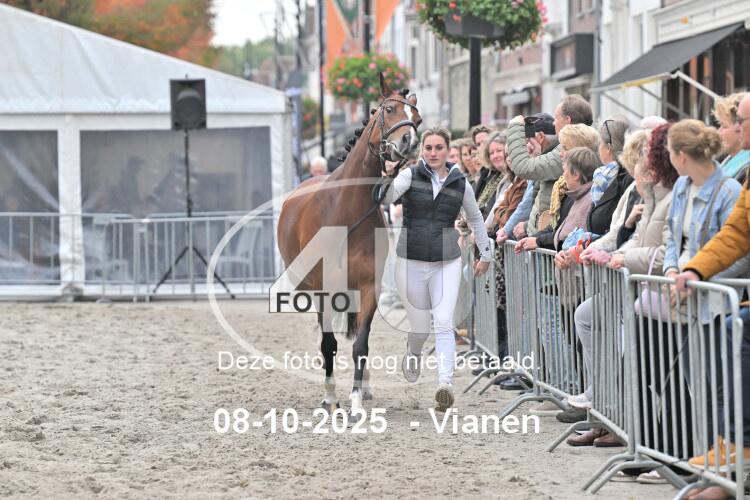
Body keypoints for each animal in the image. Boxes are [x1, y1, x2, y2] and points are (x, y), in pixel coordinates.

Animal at [277, 74, 421, 415]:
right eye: (389, 109)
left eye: (417, 117)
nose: (409, 142)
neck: (345, 210)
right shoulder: (324, 289)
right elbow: (328, 343)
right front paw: (331, 397)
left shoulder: (369, 287)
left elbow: (361, 343)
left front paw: (356, 399)